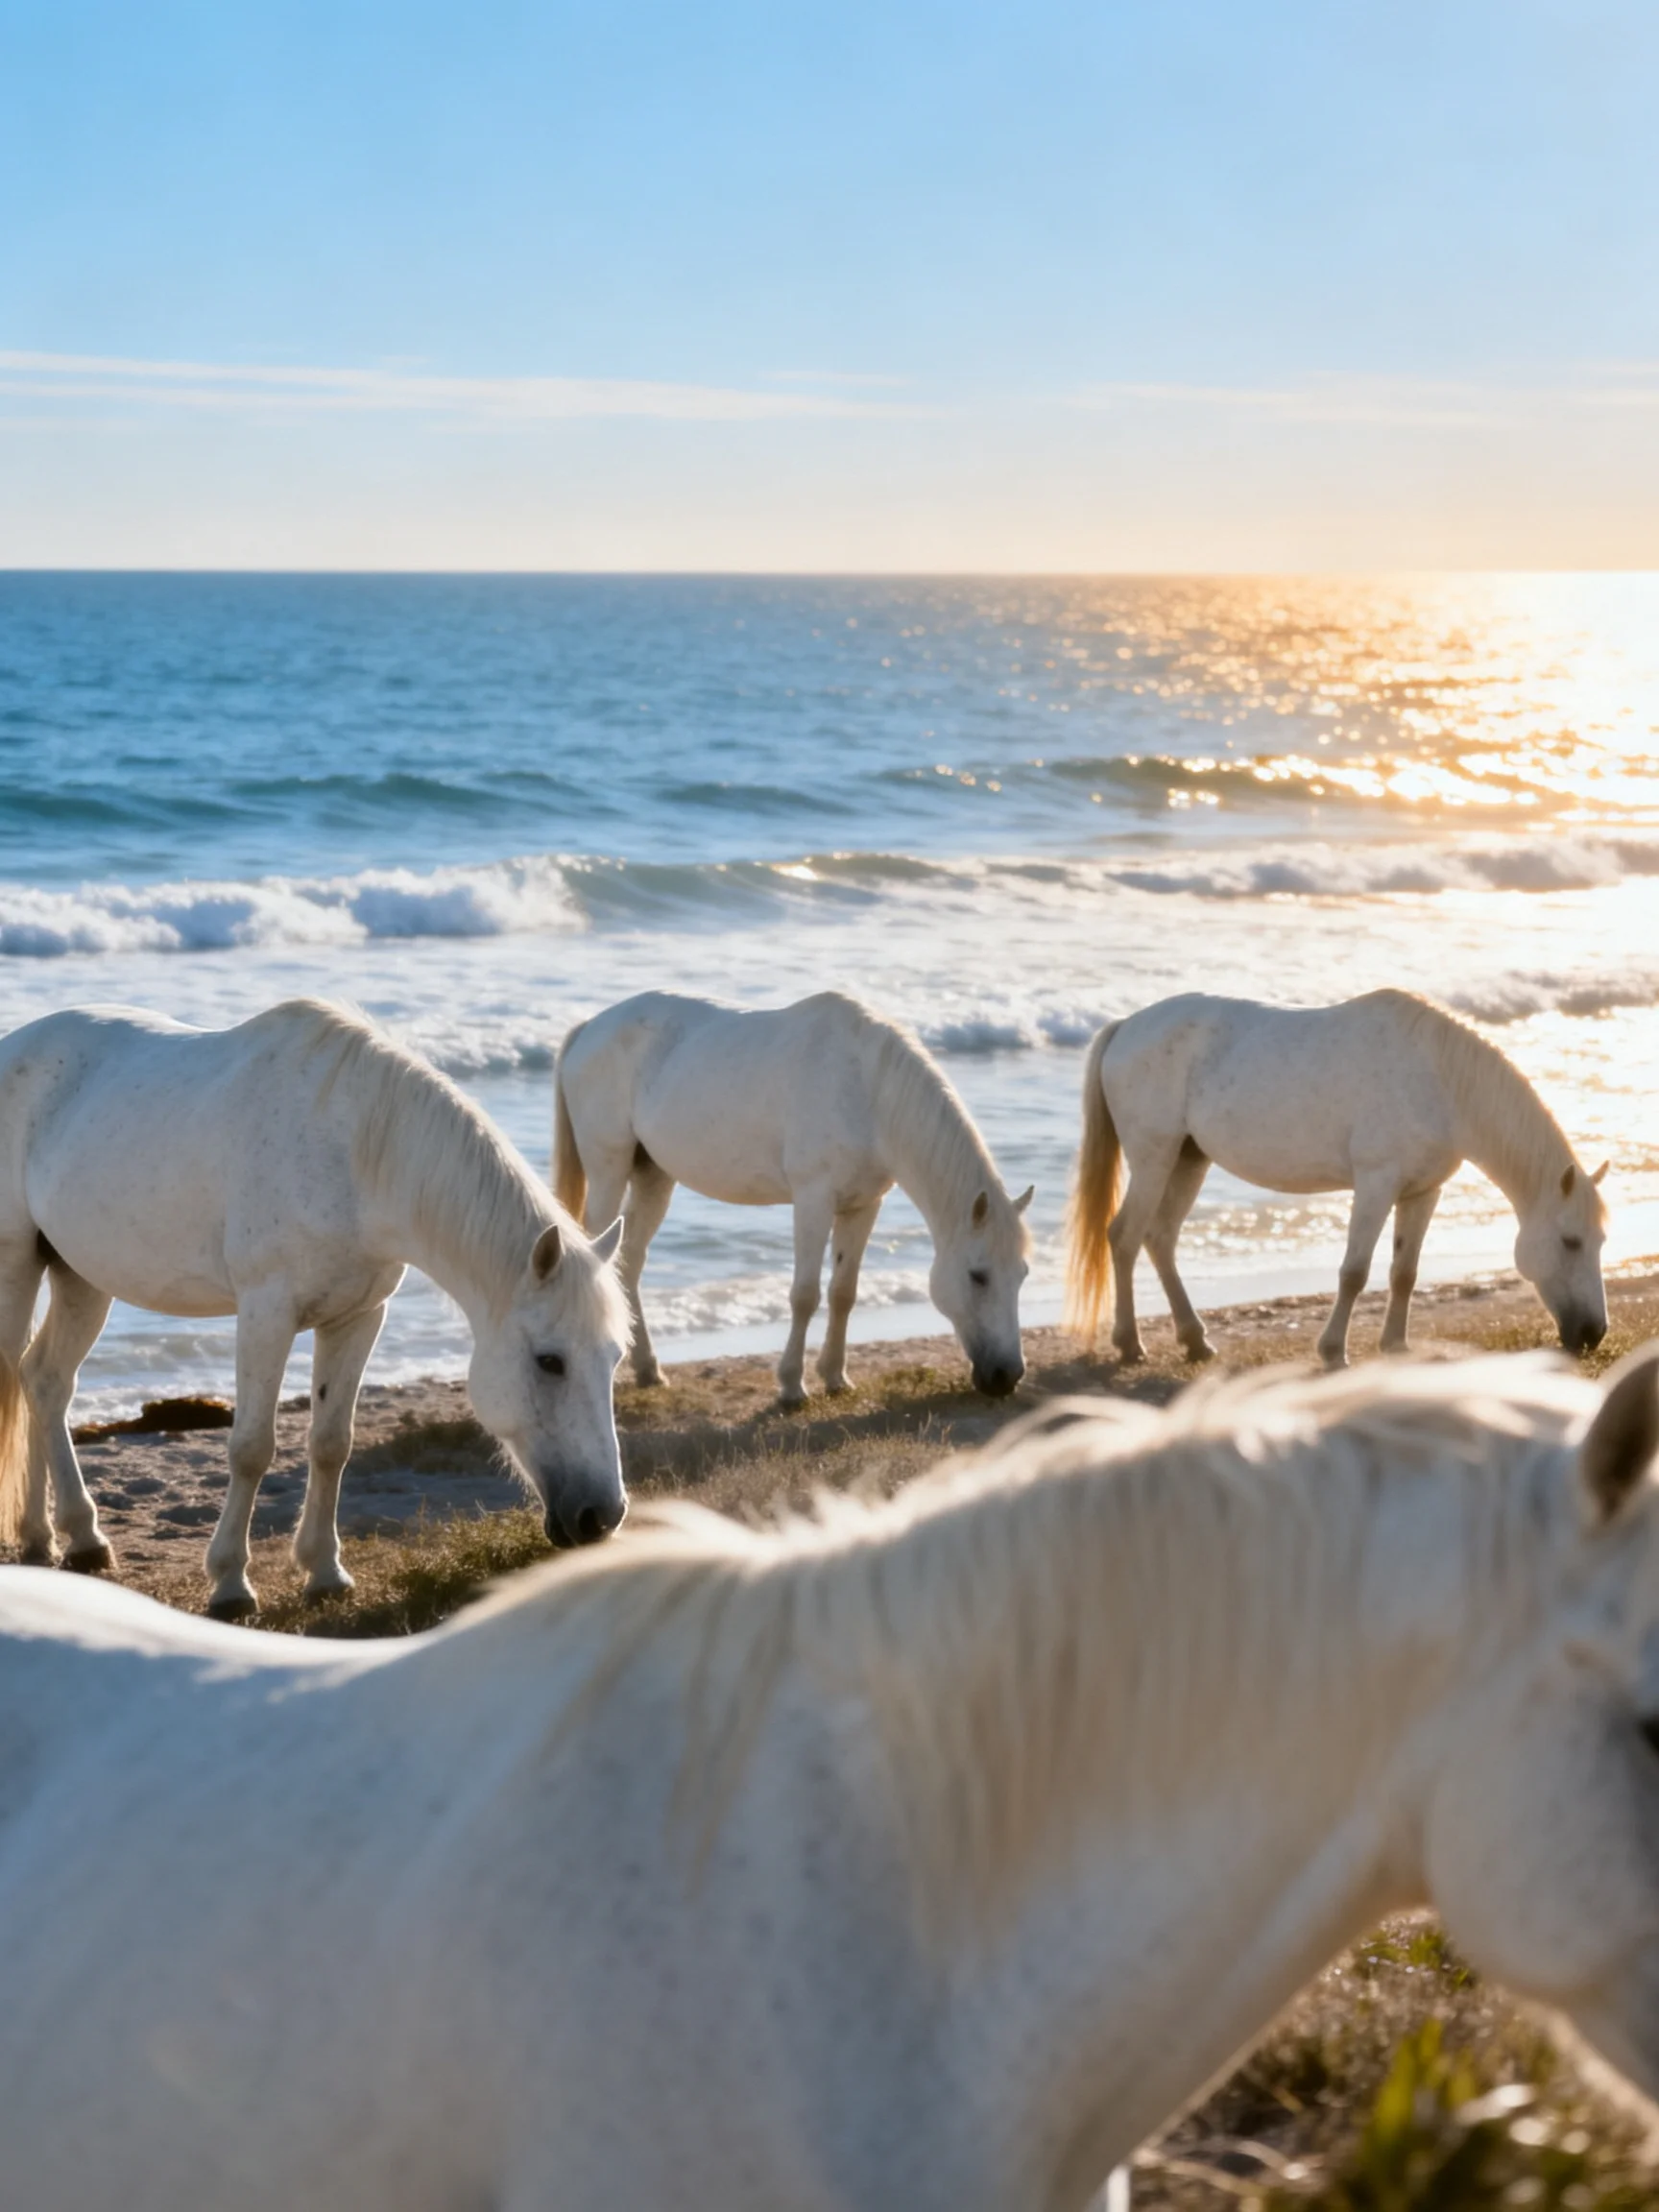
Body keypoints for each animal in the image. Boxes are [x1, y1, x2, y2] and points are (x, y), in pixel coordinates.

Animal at [0, 1000, 629, 1617]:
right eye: (550, 1361)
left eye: (615, 1359)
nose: (602, 1516)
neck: (354, 1157)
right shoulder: (266, 1314)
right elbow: (252, 1449)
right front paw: (230, 1584)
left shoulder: (358, 1317)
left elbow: (331, 1444)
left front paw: (325, 1572)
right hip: (18, 1266)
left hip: (81, 1276)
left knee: (45, 1381)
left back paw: (63, 1538)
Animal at [553, 990, 1033, 1407]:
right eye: (978, 1275)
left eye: (1023, 1274)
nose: (1006, 1376)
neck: (867, 1090)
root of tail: (590, 1028)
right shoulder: (813, 1200)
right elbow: (805, 1294)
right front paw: (790, 1387)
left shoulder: (863, 1205)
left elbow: (843, 1292)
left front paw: (836, 1377)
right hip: (609, 1168)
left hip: (654, 1175)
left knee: (630, 1261)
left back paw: (648, 1369)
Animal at [1066, 988, 1609, 1369]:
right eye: (1571, 1241)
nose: (1593, 1334)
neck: (1440, 1083)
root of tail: (1127, 1026)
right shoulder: (1375, 1184)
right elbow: (1355, 1272)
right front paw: (1332, 1351)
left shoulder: (1423, 1192)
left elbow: (1404, 1272)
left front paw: (1395, 1345)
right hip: (1154, 1157)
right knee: (1125, 1237)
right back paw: (1131, 1345)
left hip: (1188, 1159)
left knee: (1160, 1239)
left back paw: (1196, 1342)